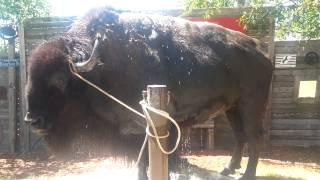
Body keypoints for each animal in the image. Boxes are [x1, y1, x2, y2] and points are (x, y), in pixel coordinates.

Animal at [24, 7, 272, 180]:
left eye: (60, 78)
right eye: (30, 75)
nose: (33, 120)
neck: (101, 69)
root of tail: (261, 50)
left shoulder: (145, 125)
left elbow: (146, 159)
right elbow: (142, 159)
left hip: (251, 105)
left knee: (254, 137)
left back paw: (247, 174)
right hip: (233, 108)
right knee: (240, 136)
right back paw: (228, 169)